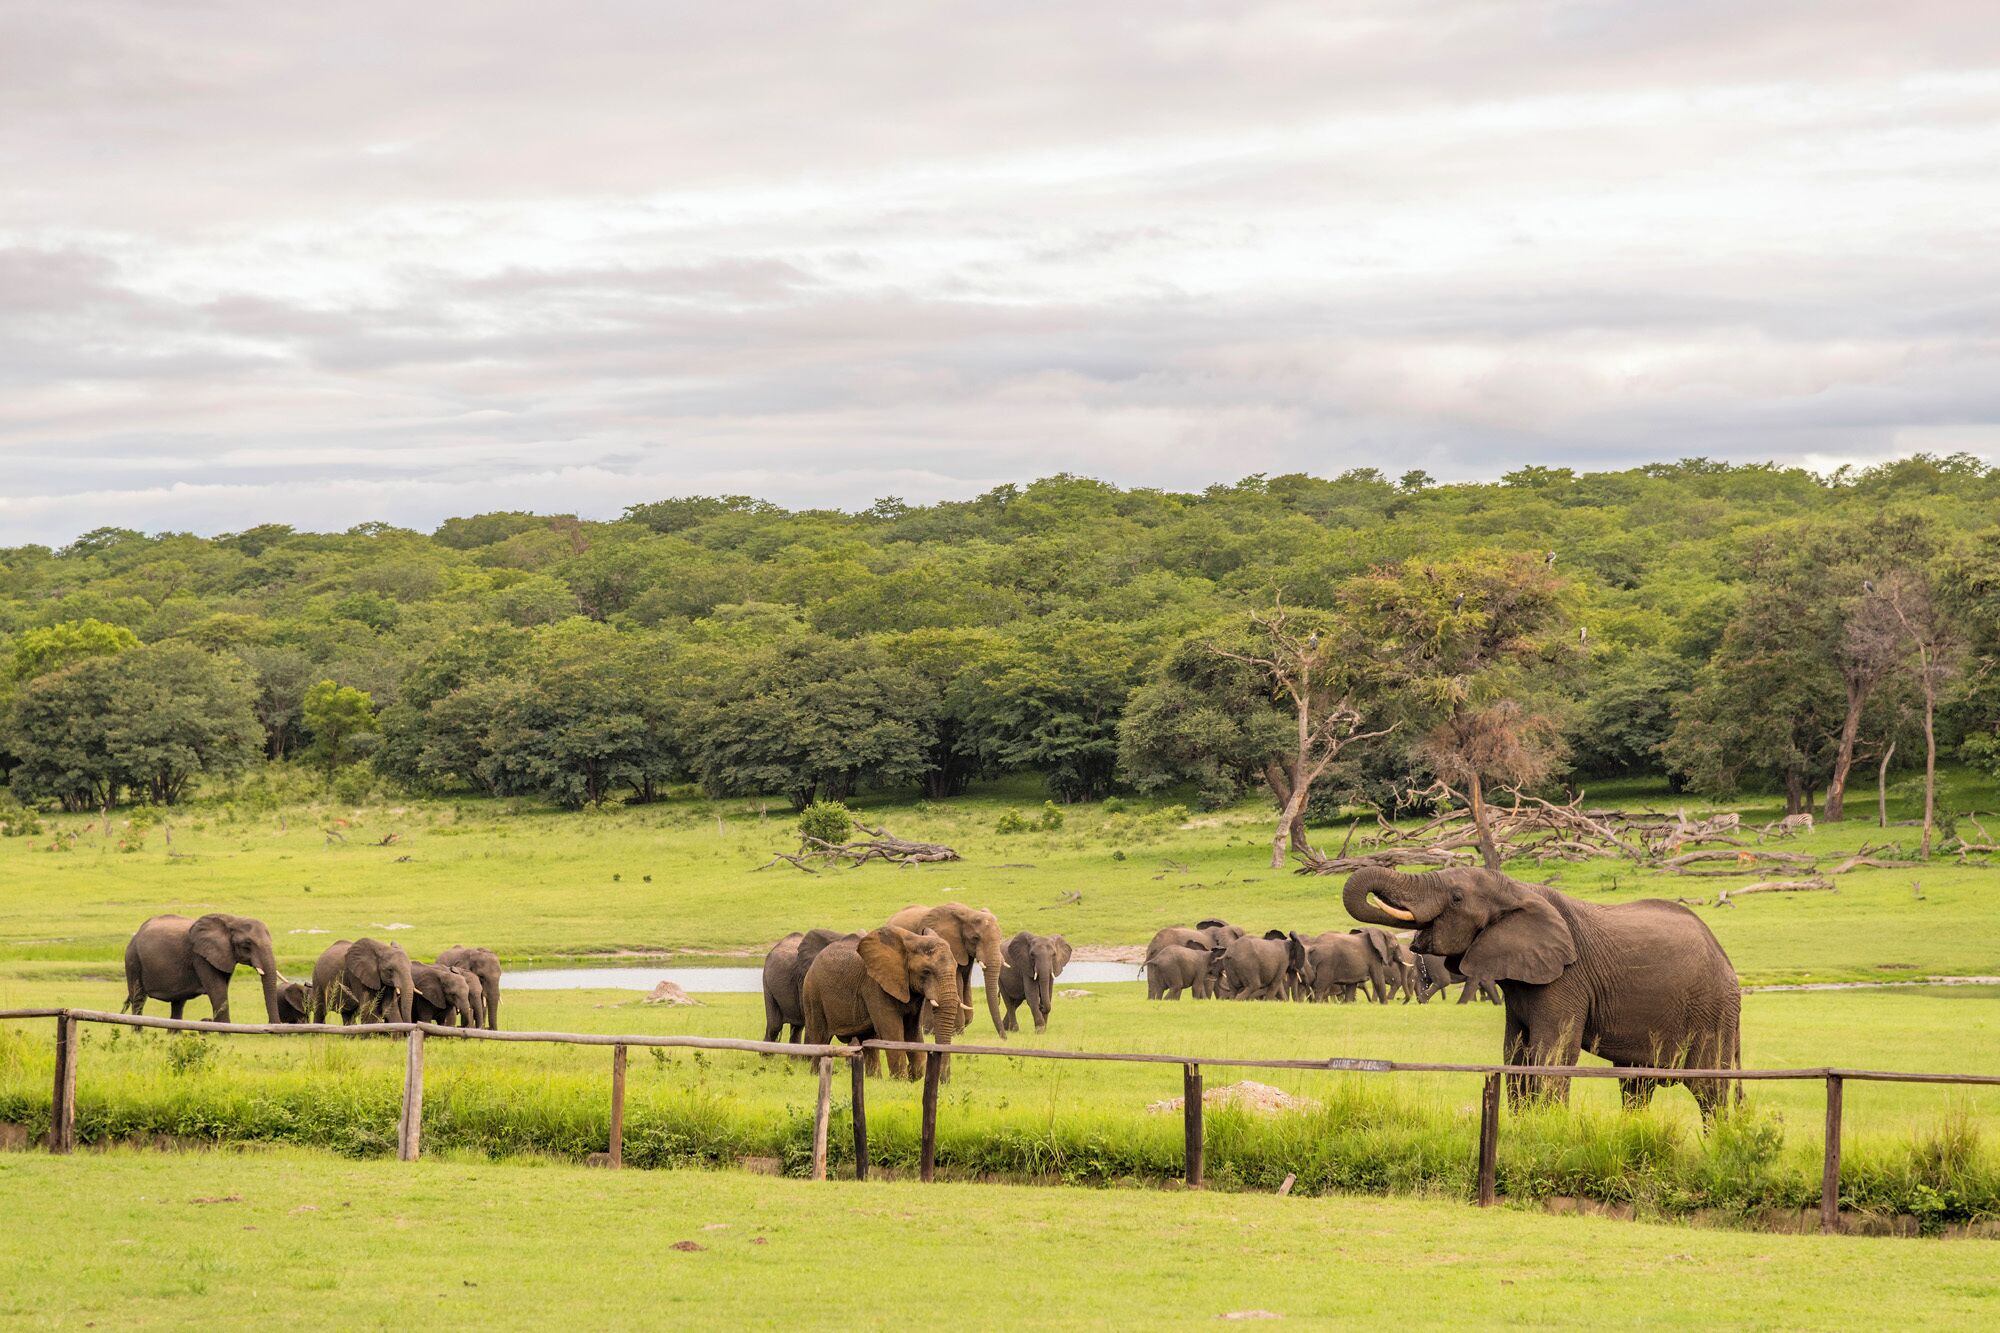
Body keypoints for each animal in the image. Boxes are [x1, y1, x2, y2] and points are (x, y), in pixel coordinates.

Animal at [123, 913, 284, 1024]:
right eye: (247, 944)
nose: (273, 1027)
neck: (232, 920)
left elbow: (222, 989)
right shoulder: (201, 957)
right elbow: (218, 991)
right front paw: (226, 1035)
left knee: (178, 1003)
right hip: (133, 960)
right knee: (138, 998)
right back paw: (138, 1035)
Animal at [801, 925, 962, 1079]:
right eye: (926, 972)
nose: (943, 1080)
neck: (912, 940)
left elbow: (913, 1031)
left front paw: (915, 1078)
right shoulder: (875, 985)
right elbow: (892, 1031)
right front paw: (900, 1080)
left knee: (868, 1040)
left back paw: (874, 1079)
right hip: (812, 994)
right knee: (821, 1037)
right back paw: (815, 1074)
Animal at [884, 903, 1006, 1039]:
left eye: (1000, 937)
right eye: (975, 938)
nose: (1004, 1038)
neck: (969, 913)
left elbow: (965, 979)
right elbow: (957, 981)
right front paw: (956, 1033)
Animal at [1344, 865, 1742, 1116]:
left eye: (1456, 898)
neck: (1519, 888)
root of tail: (1726, 961)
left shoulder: (1567, 978)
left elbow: (1551, 1053)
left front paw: (1549, 1127)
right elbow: (1515, 1053)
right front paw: (1528, 1127)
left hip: (1710, 1012)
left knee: (1710, 1090)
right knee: (1637, 1088)